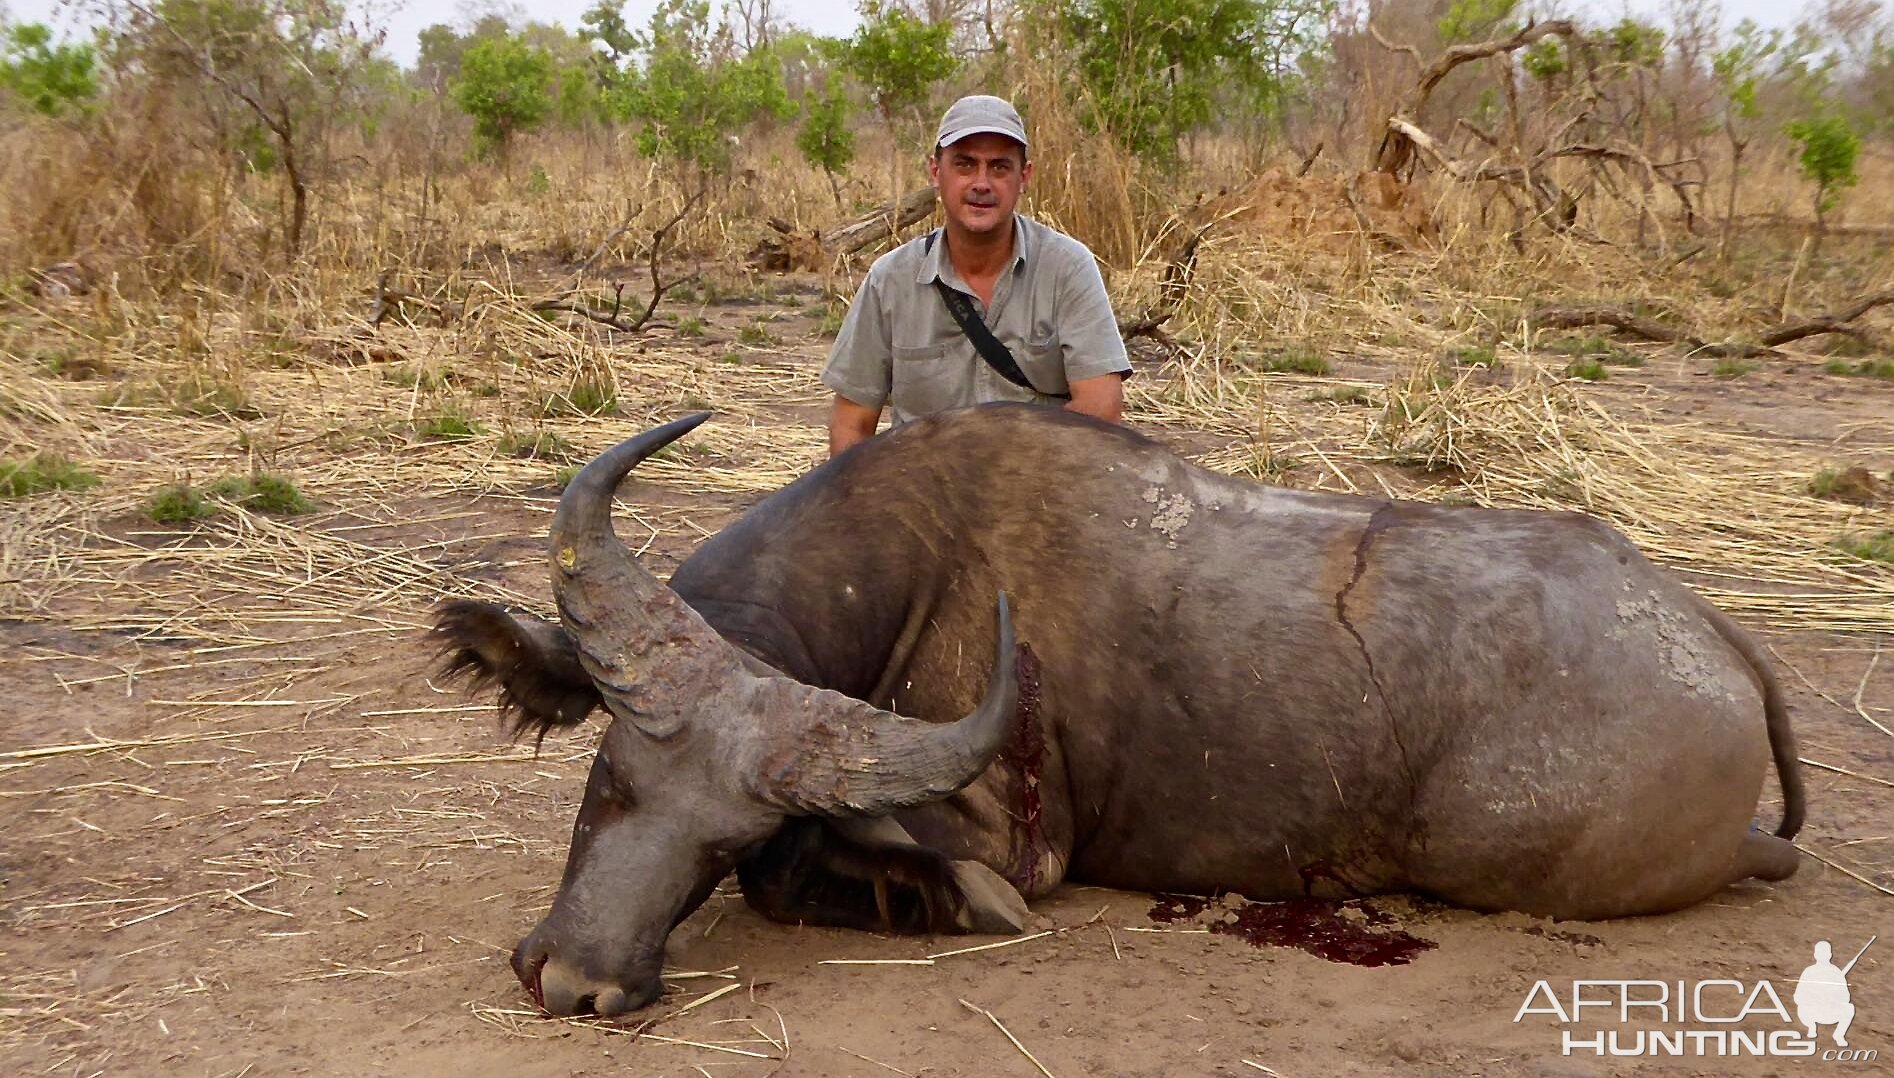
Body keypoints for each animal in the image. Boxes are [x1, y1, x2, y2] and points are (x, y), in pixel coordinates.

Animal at [433, 403, 1803, 1015]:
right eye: (609, 778)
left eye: (725, 844)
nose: (576, 982)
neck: (920, 561)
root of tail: (1707, 631)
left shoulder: (1011, 845)